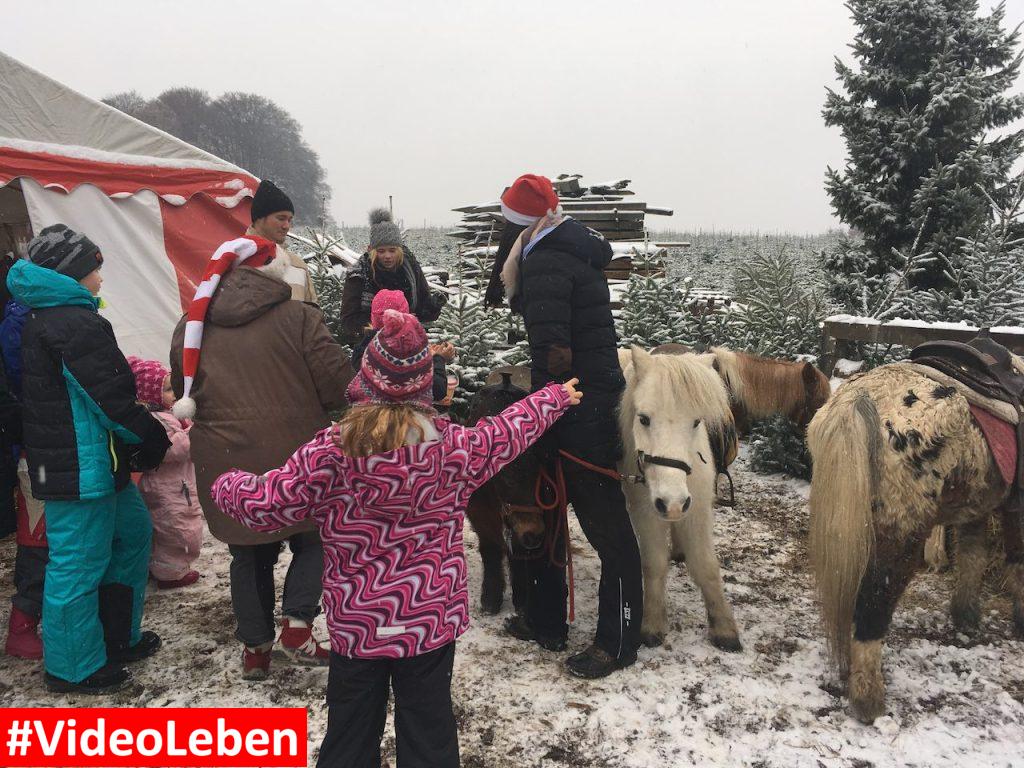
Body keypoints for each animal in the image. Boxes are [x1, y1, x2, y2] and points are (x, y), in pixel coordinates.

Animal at [614, 348, 745, 655]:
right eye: (644, 418)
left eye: (696, 422)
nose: (672, 502)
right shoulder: (646, 510)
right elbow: (653, 564)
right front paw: (652, 623)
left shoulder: (697, 509)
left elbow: (706, 566)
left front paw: (724, 628)